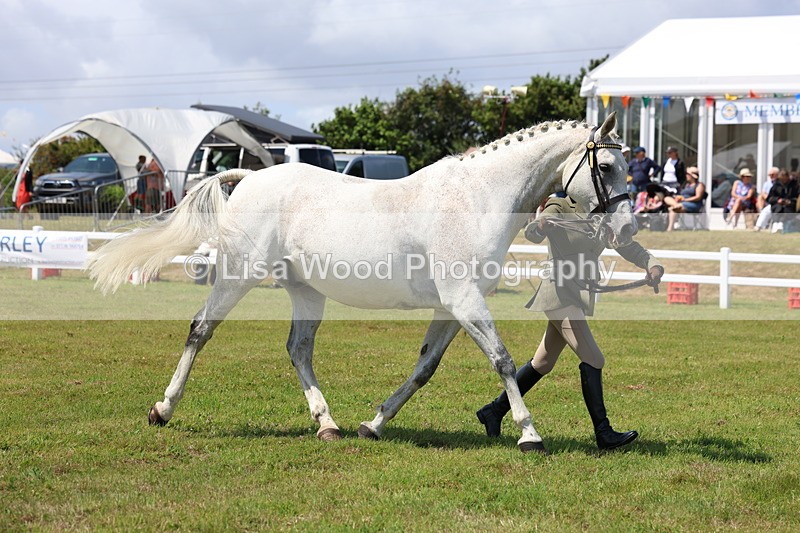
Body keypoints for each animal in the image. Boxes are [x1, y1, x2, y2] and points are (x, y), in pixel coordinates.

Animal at [89, 112, 634, 454]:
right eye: (607, 166)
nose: (627, 229)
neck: (477, 198)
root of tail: (248, 178)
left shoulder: (451, 307)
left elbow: (424, 369)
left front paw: (373, 425)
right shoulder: (464, 300)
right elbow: (500, 358)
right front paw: (529, 435)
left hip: (306, 291)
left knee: (299, 349)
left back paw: (328, 426)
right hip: (238, 276)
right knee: (200, 329)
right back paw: (163, 409)